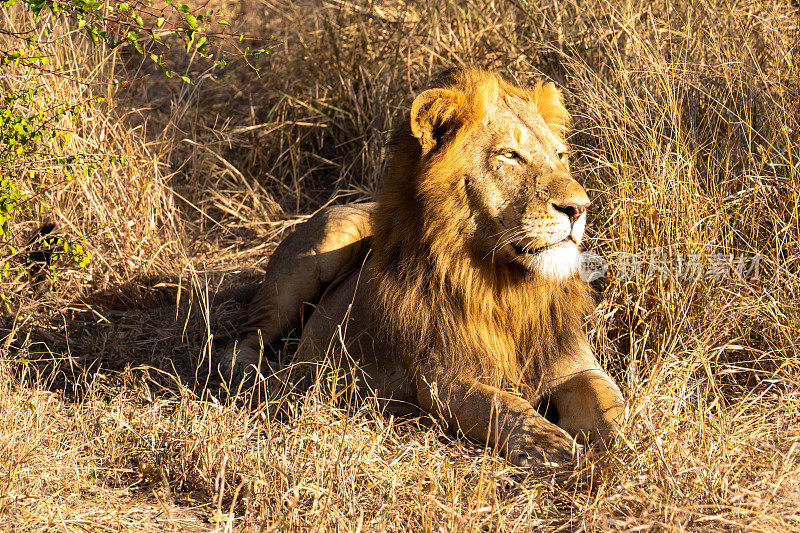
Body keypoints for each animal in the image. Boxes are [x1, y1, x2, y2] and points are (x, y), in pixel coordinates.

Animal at [220, 67, 624, 466]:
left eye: (560, 155)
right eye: (510, 155)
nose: (579, 207)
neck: (506, 284)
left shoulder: (575, 364)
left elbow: (613, 407)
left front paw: (623, 450)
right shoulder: (441, 376)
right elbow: (500, 404)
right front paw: (546, 442)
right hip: (325, 242)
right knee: (247, 336)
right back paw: (253, 374)